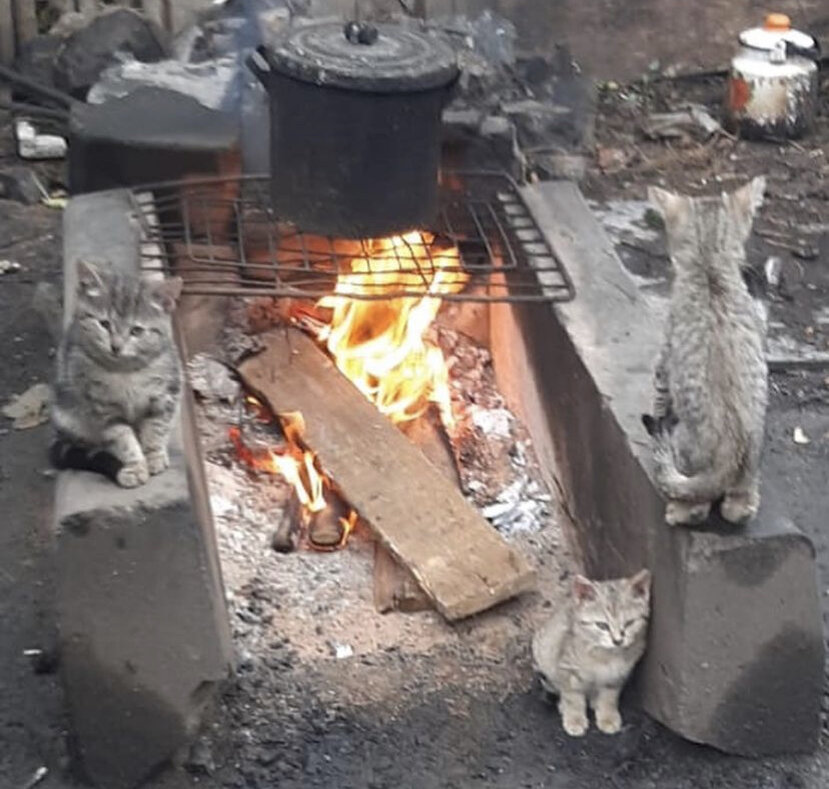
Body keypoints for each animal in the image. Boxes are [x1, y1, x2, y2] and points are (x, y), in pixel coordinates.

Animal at [50, 262, 184, 486]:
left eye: (136, 331)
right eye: (104, 324)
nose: (116, 346)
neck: (125, 371)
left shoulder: (166, 393)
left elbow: (157, 426)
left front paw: (154, 454)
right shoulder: (101, 405)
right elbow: (121, 436)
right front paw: (135, 465)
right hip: (68, 415)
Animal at [532, 568, 652, 736]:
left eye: (629, 623)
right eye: (602, 625)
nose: (617, 641)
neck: (605, 656)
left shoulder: (617, 675)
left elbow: (609, 697)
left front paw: (607, 716)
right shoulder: (567, 669)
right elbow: (573, 697)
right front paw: (574, 718)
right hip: (543, 651)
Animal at [640, 177, 768, 524]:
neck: (711, 267)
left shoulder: (665, 356)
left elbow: (658, 396)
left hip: (686, 444)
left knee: (697, 504)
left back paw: (678, 509)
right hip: (748, 476)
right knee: (739, 506)